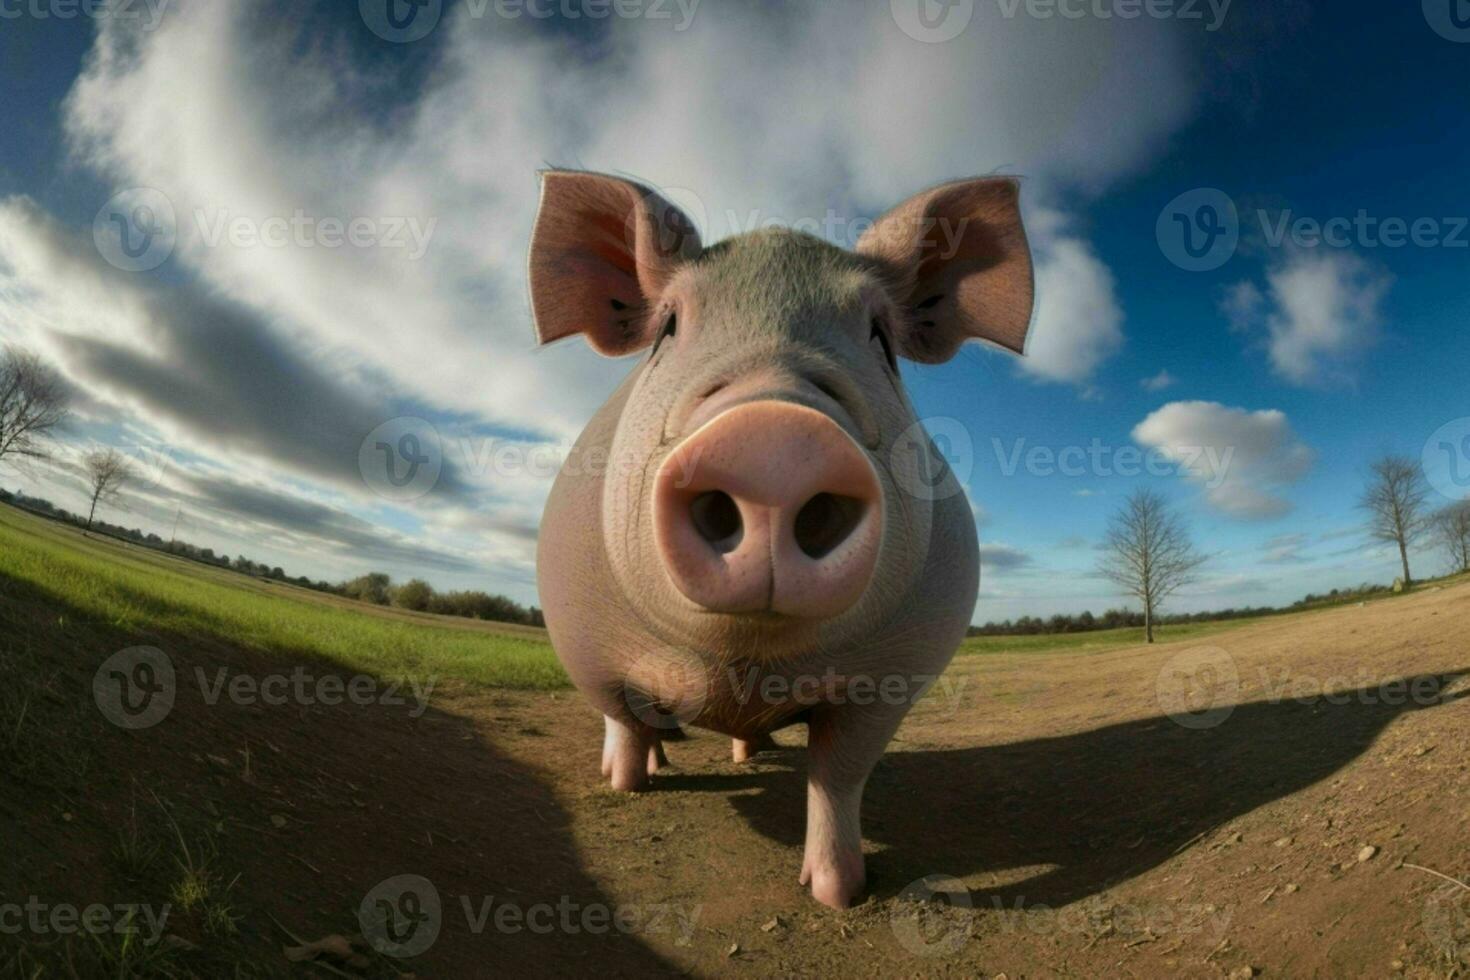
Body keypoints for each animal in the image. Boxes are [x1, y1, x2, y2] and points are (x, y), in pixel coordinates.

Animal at [532, 170, 1034, 910]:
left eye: (881, 339)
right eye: (669, 327)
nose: (774, 436)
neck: (743, 662)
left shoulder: (897, 674)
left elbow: (839, 775)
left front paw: (839, 892)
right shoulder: (582, 642)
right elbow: (620, 719)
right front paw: (626, 786)